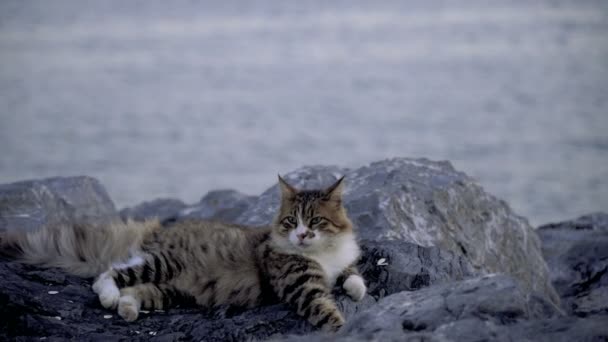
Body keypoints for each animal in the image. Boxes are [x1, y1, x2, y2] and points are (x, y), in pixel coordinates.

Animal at [2, 176, 366, 332]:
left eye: (315, 221)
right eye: (291, 221)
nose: (301, 235)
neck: (322, 252)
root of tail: (157, 229)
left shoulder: (339, 264)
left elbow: (352, 274)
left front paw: (356, 287)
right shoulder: (301, 285)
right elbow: (324, 309)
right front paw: (341, 327)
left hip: (169, 291)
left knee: (134, 289)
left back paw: (127, 309)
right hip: (163, 263)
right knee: (108, 273)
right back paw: (109, 298)